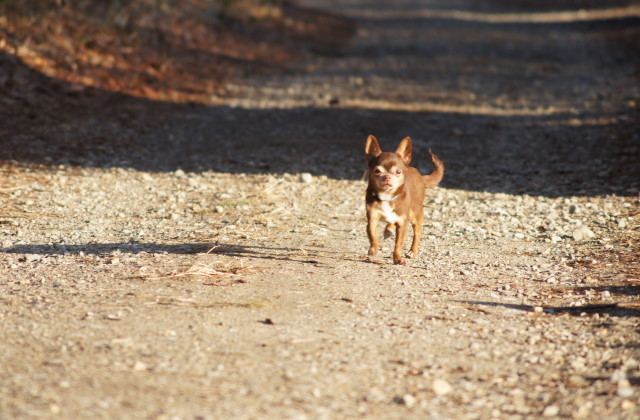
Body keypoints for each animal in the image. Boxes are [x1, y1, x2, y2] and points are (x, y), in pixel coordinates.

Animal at [364, 135, 444, 264]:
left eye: (398, 171)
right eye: (377, 171)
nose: (387, 177)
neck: (387, 197)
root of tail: (422, 177)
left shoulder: (402, 224)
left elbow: (398, 244)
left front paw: (397, 259)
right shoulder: (372, 218)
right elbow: (372, 234)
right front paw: (374, 248)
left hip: (415, 214)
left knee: (417, 233)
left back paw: (412, 251)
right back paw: (388, 230)